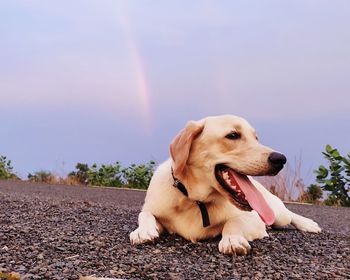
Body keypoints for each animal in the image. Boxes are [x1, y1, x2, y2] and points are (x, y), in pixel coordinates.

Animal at [130, 115, 322, 255]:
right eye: (233, 135)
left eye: (256, 138)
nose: (280, 159)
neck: (194, 200)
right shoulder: (154, 209)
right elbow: (144, 214)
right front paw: (142, 231)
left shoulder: (254, 219)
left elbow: (234, 221)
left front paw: (232, 239)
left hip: (277, 214)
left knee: (288, 214)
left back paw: (308, 224)